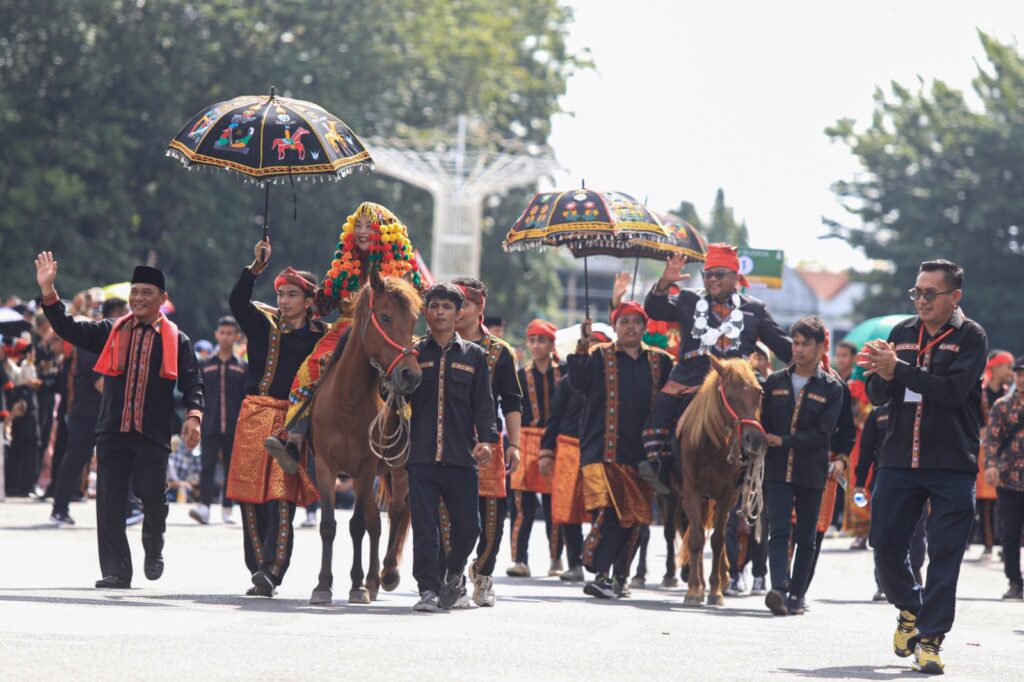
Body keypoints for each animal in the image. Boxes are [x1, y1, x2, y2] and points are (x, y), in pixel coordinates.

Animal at [305, 268, 421, 602]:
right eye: (384, 317)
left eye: (413, 321)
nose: (410, 375)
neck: (347, 400)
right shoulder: (327, 467)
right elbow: (329, 524)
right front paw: (324, 584)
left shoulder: (366, 467)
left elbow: (356, 525)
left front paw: (355, 584)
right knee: (376, 522)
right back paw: (372, 580)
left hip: (397, 468)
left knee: (397, 511)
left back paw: (387, 573)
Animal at [671, 356, 770, 606]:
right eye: (731, 395)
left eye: (759, 393)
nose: (755, 439)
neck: (711, 446)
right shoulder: (691, 493)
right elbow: (697, 538)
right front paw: (694, 590)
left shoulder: (727, 496)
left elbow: (717, 540)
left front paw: (715, 591)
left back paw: (723, 580)